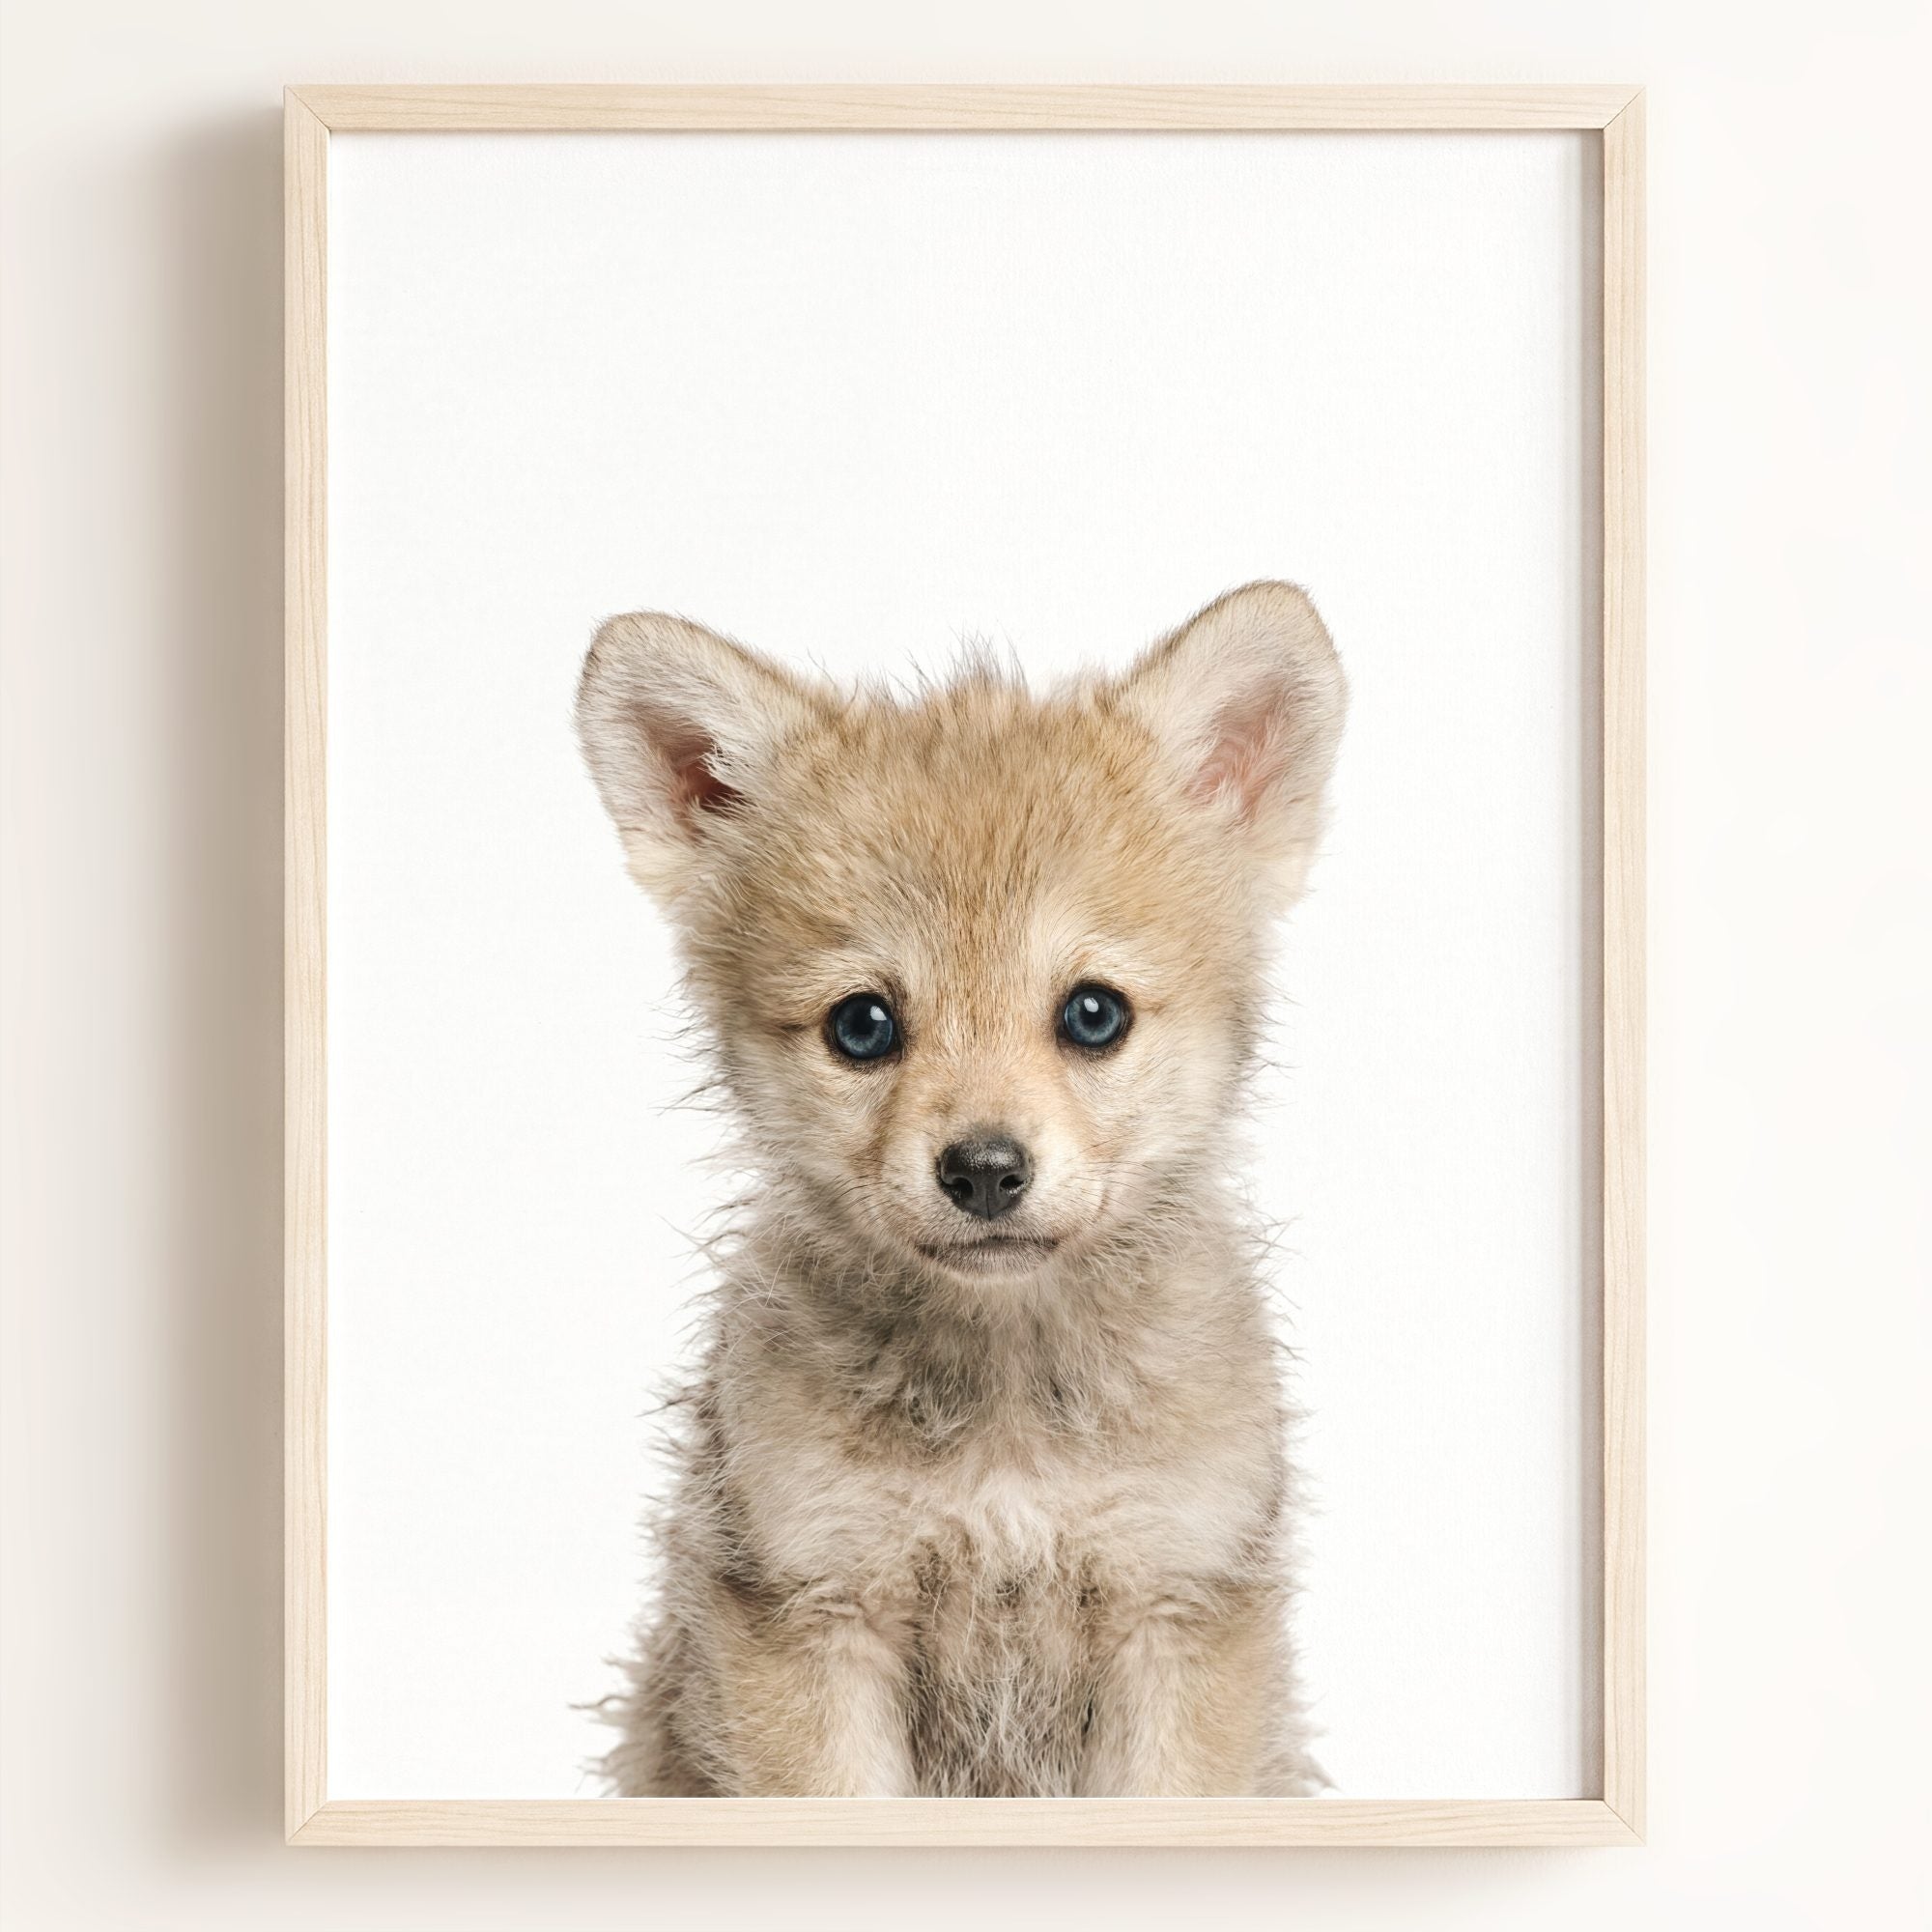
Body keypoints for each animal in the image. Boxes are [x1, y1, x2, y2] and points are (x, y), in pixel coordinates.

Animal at [576, 582, 1346, 1797]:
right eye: (861, 1024)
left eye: (1093, 1012)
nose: (984, 1168)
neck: (1007, 1418)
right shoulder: (810, 1609)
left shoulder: (1176, 1605)